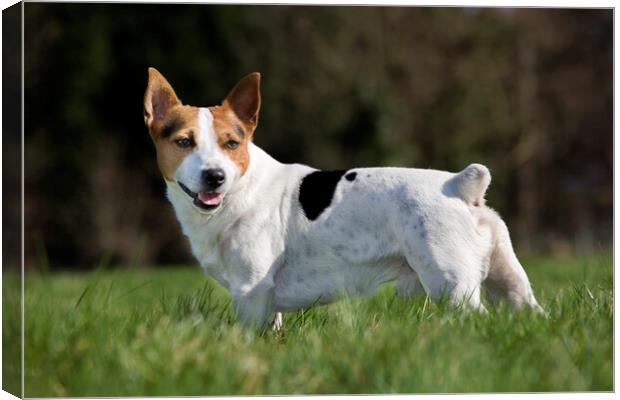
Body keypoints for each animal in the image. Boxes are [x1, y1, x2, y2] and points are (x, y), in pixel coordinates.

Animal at [144, 69, 544, 330]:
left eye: (232, 143)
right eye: (184, 142)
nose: (215, 176)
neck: (240, 189)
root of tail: (461, 185)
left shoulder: (250, 292)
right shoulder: (265, 300)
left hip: (452, 285)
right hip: (510, 285)